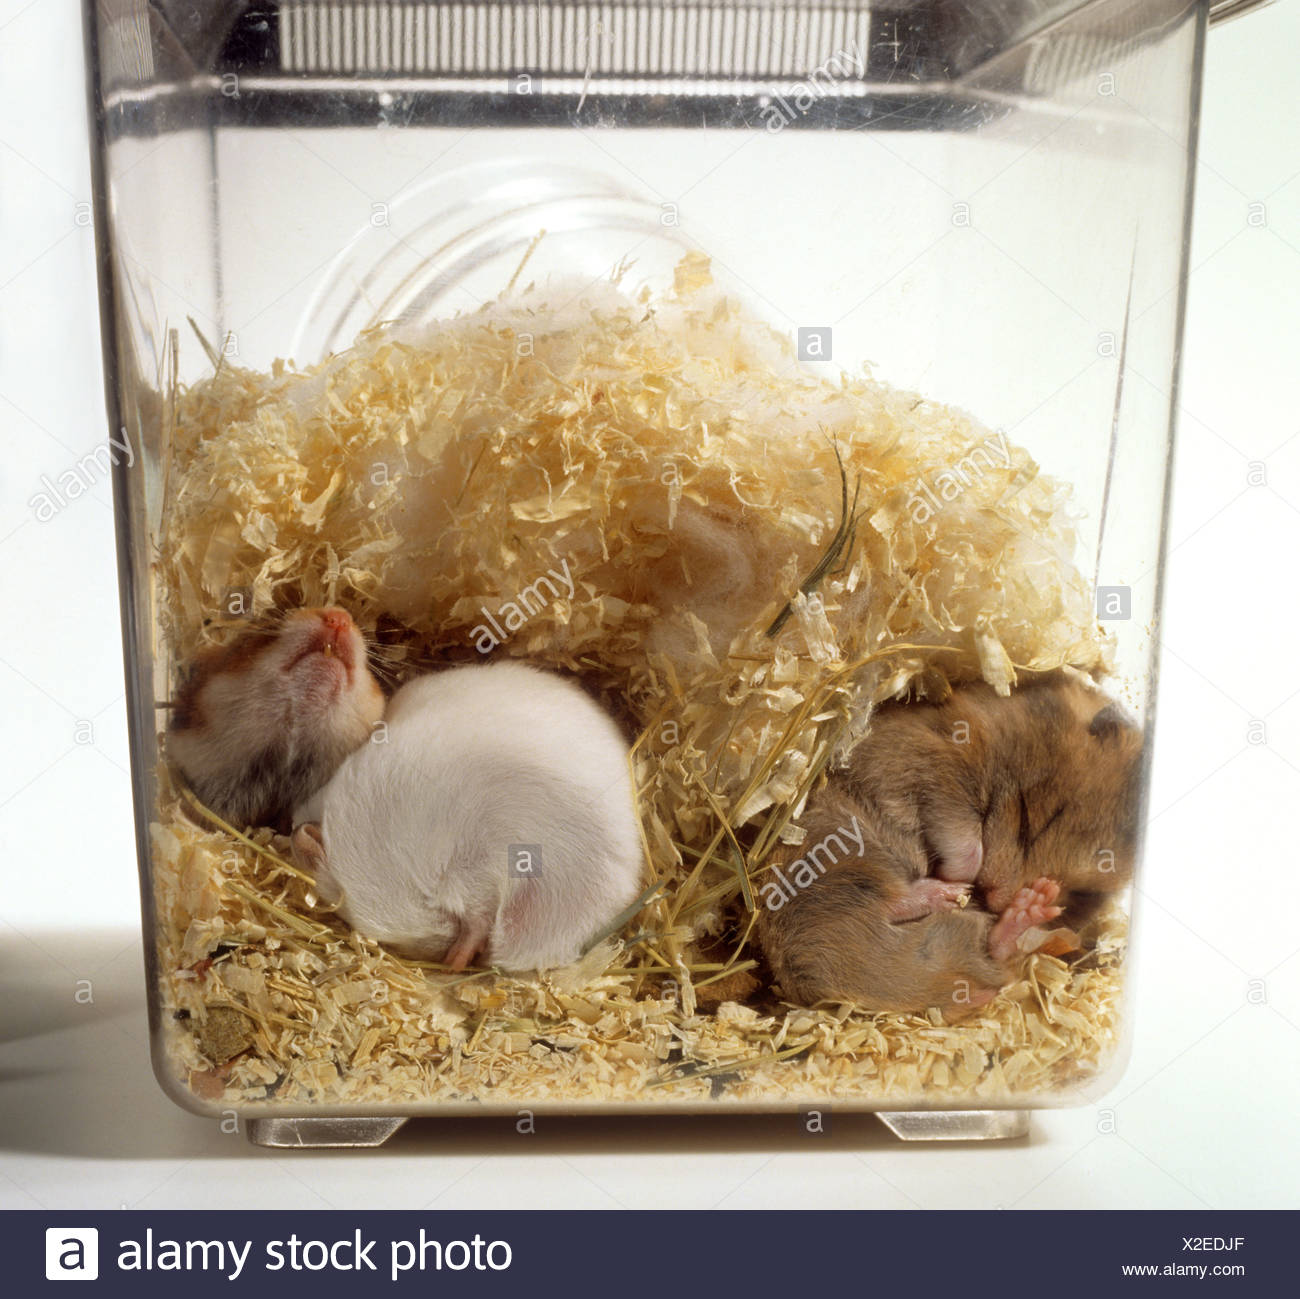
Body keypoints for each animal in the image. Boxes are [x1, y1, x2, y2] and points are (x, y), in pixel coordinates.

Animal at [756, 675, 1144, 1017]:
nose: (991, 899)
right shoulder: (937, 772)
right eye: (1030, 820)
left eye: (1081, 891)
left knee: (992, 950)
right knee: (891, 899)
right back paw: (956, 893)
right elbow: (962, 838)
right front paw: (963, 878)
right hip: (840, 855)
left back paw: (1022, 910)